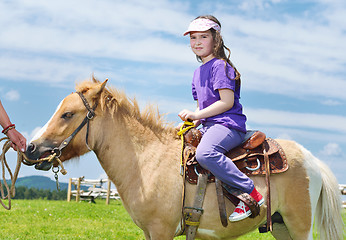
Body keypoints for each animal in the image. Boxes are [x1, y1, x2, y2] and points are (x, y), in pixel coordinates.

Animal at [25, 78, 344, 239]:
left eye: (67, 114)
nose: (31, 148)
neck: (146, 160)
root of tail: (312, 160)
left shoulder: (161, 231)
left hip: (299, 226)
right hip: (280, 226)